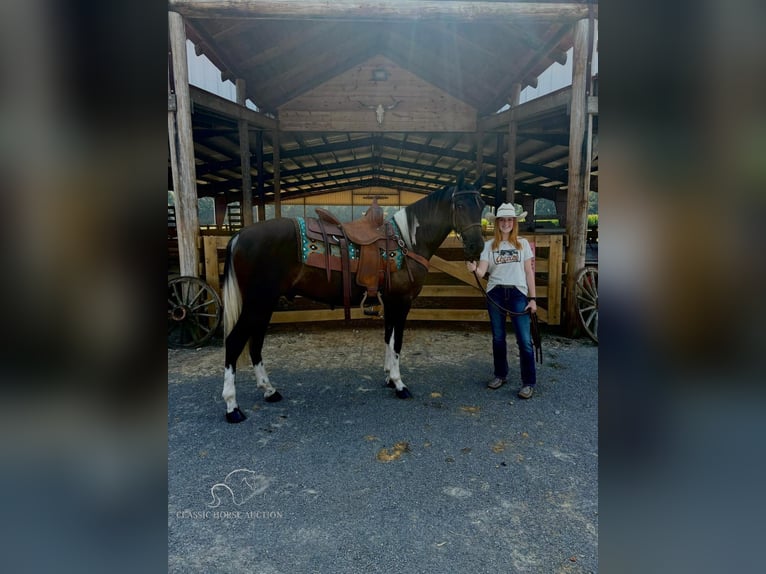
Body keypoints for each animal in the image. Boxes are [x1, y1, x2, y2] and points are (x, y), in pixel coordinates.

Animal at [220, 172, 486, 424]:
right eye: (459, 205)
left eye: (482, 205)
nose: (477, 247)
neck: (407, 241)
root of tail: (239, 236)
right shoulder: (402, 302)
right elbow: (397, 342)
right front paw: (399, 384)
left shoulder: (389, 303)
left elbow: (388, 339)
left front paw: (389, 378)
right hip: (258, 303)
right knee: (234, 342)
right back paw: (233, 407)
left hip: (265, 305)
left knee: (255, 342)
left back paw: (269, 391)